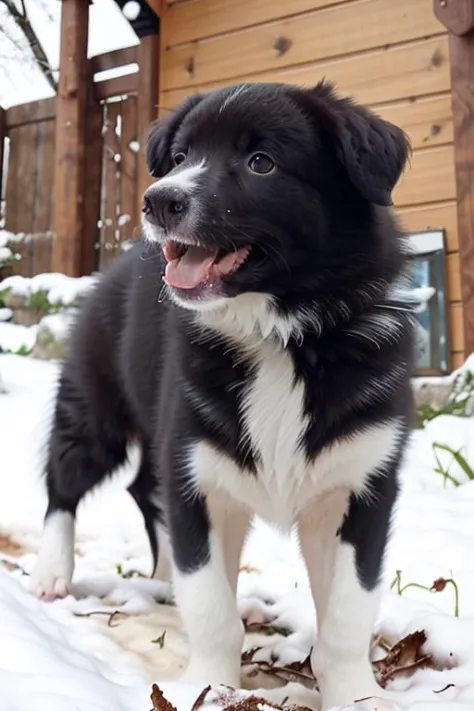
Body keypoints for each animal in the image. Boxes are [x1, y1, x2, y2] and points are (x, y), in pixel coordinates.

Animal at [30, 82, 414, 708]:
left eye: (262, 162)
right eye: (181, 157)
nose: (157, 201)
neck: (282, 335)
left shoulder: (362, 480)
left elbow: (348, 613)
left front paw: (357, 694)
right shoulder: (199, 472)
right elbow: (211, 603)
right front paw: (208, 685)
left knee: (145, 489)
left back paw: (162, 580)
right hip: (94, 405)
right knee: (65, 481)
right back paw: (51, 573)